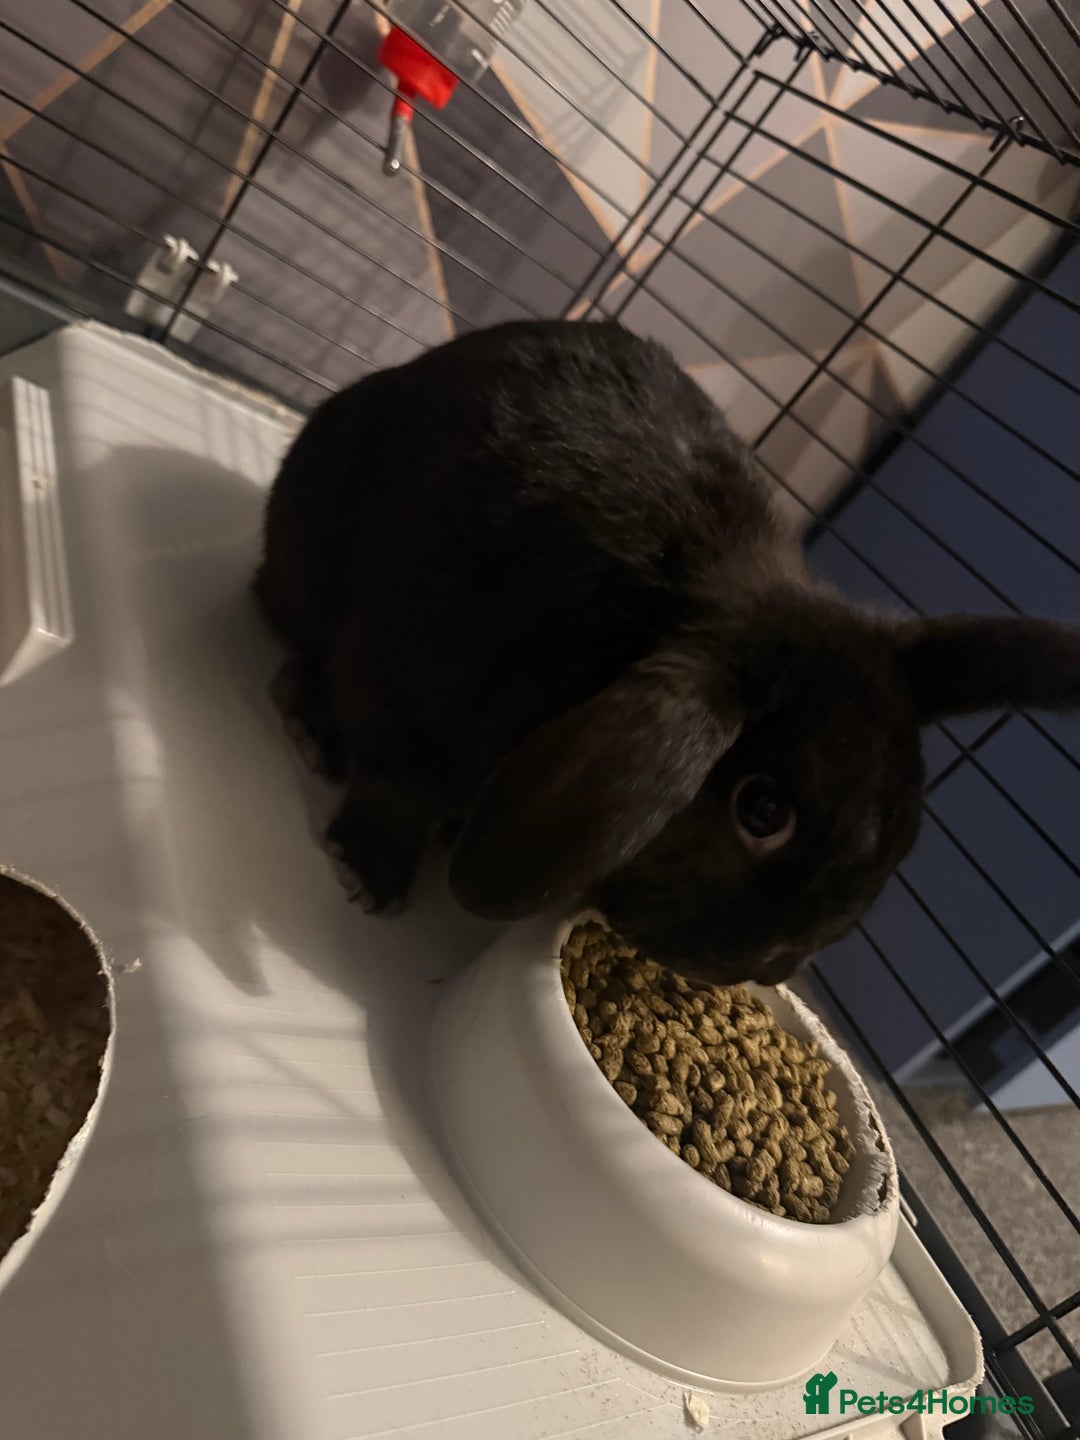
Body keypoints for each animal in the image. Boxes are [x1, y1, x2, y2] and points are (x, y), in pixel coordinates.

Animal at [254, 318, 1080, 986]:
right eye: (763, 810)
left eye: (902, 829)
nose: (767, 968)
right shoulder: (416, 682)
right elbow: (395, 788)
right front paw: (370, 871)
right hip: (307, 540)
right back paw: (311, 725)